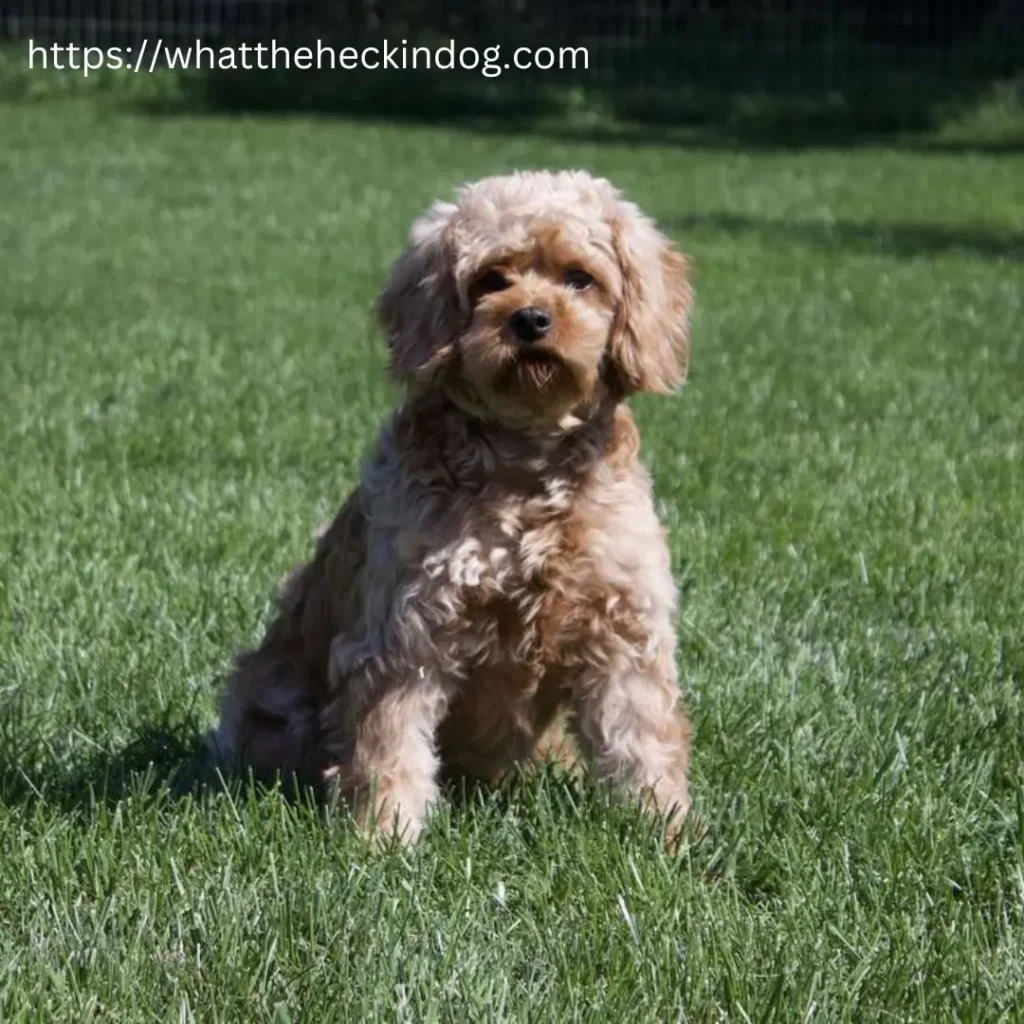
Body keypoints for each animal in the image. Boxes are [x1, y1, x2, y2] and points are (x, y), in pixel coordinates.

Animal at [211, 167, 700, 843]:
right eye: (492, 279)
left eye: (580, 277)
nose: (530, 318)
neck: (526, 465)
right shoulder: (407, 632)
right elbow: (388, 746)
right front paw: (385, 835)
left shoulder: (624, 627)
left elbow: (644, 742)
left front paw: (666, 831)